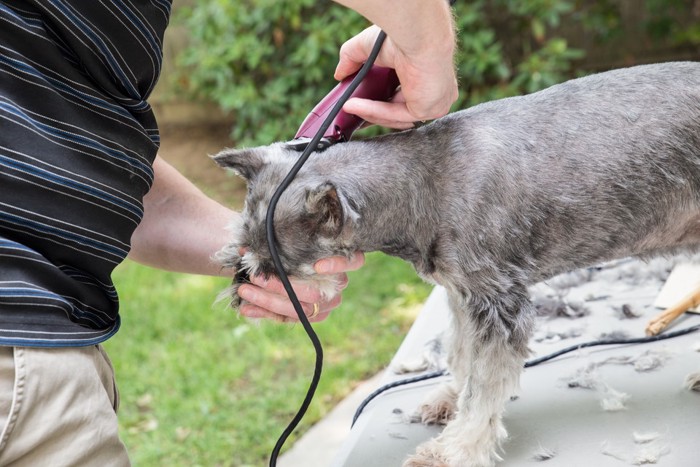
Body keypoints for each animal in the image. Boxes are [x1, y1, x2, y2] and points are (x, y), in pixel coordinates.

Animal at [213, 63, 700, 467]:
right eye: (242, 248)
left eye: (270, 269)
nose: (240, 292)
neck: (422, 184)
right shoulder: (464, 295)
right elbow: (463, 357)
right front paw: (449, 399)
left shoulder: (499, 304)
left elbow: (484, 387)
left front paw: (454, 451)